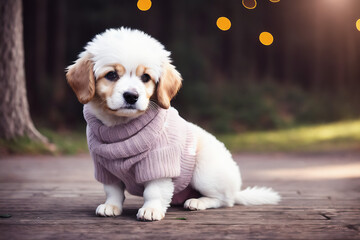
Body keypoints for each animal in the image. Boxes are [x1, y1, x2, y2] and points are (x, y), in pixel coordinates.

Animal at [67, 27, 282, 221]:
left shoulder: (159, 163)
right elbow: (113, 191)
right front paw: (111, 206)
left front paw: (151, 209)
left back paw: (198, 202)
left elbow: (153, 191)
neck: (121, 126)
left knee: (224, 200)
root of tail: (235, 189)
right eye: (111, 75)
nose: (131, 96)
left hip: (204, 172)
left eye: (145, 77)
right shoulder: (105, 168)